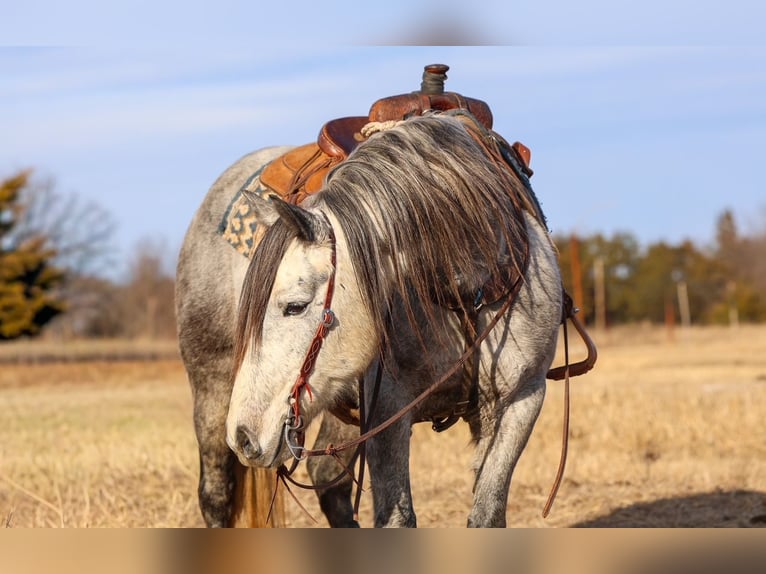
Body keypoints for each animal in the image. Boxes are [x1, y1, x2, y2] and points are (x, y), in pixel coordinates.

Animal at [223, 112, 564, 527]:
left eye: (295, 306)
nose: (242, 435)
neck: (467, 288)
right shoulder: (388, 415)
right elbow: (397, 517)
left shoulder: (522, 399)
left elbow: (488, 513)